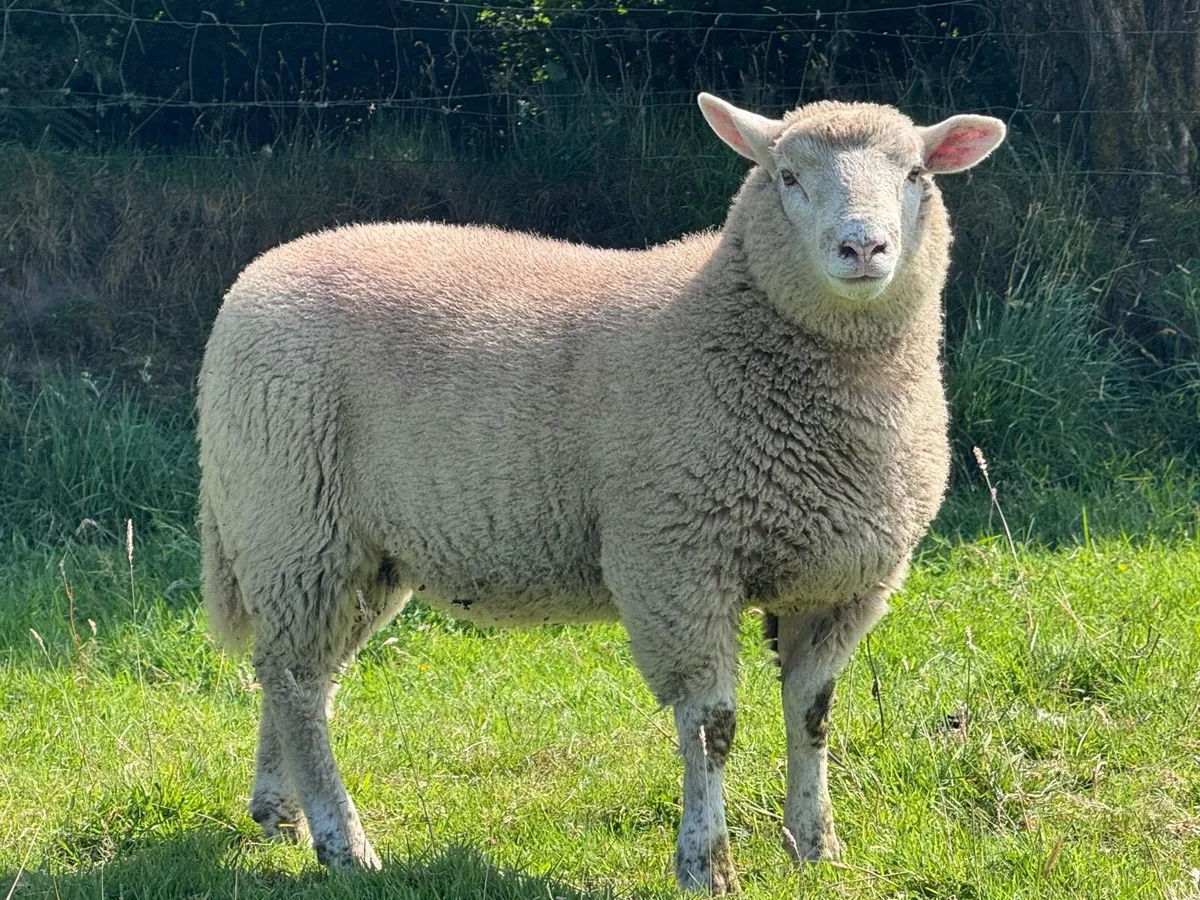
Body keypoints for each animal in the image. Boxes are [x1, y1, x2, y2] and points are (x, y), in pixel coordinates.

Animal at [197, 92, 1005, 893]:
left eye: (914, 174)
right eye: (787, 177)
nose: (862, 248)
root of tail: (256, 278)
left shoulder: (838, 585)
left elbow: (813, 716)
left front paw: (816, 846)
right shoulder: (676, 566)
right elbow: (711, 728)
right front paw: (706, 862)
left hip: (358, 553)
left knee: (292, 675)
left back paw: (281, 811)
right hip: (295, 522)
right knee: (298, 680)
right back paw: (343, 843)